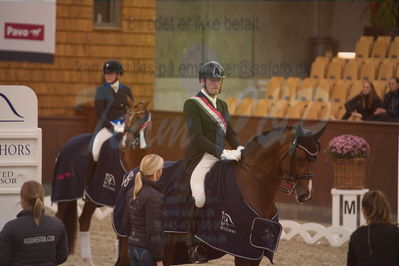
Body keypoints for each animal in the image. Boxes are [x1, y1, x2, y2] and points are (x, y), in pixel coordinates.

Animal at [50, 101, 149, 264]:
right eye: (128, 116)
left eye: (141, 118)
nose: (125, 144)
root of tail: (68, 143)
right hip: (65, 193)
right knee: (59, 217)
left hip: (92, 199)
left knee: (84, 221)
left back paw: (88, 261)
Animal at [113, 124, 324, 266]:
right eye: (301, 157)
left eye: (315, 159)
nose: (306, 195)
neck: (252, 186)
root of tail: (133, 173)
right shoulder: (242, 250)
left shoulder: (255, 251)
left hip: (166, 245)